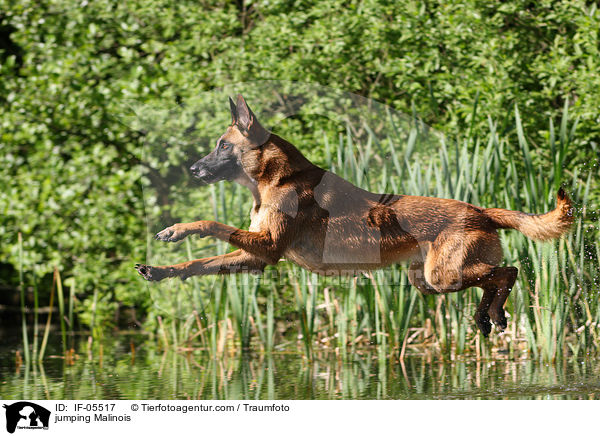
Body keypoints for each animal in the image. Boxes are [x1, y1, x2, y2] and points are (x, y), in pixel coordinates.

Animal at [134, 93, 576, 336]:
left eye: (223, 146)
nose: (193, 169)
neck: (274, 178)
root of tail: (480, 210)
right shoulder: (256, 256)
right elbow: (199, 263)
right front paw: (161, 270)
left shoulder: (268, 245)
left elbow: (211, 225)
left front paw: (177, 229)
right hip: (425, 280)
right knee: (495, 278)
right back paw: (489, 316)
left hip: (443, 275)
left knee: (509, 272)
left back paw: (494, 312)